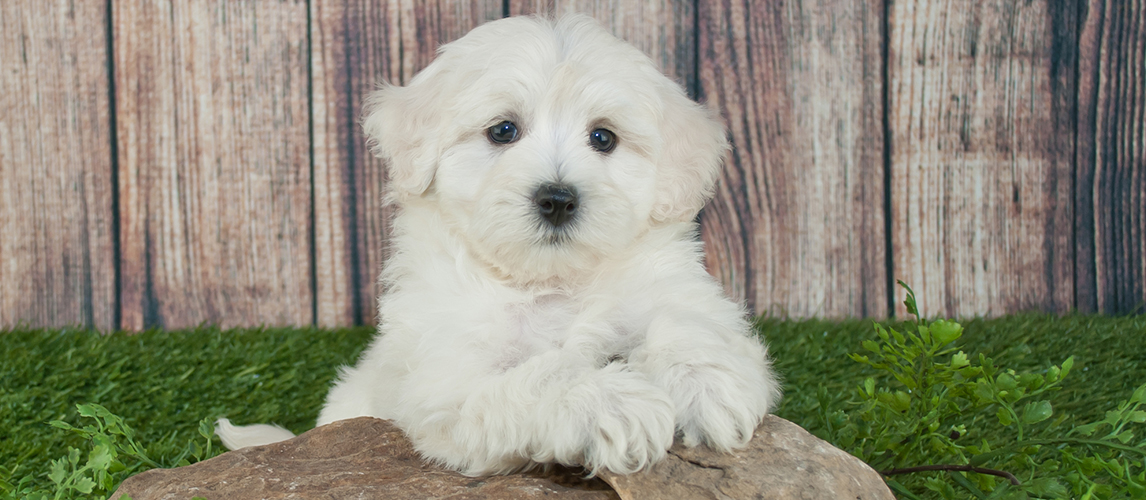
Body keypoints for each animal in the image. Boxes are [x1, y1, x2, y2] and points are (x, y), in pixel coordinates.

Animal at [216, 14, 779, 477]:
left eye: (604, 138)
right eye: (503, 131)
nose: (557, 199)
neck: (547, 282)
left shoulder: (666, 282)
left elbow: (688, 321)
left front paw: (710, 384)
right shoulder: (451, 383)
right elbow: (540, 378)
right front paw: (614, 404)